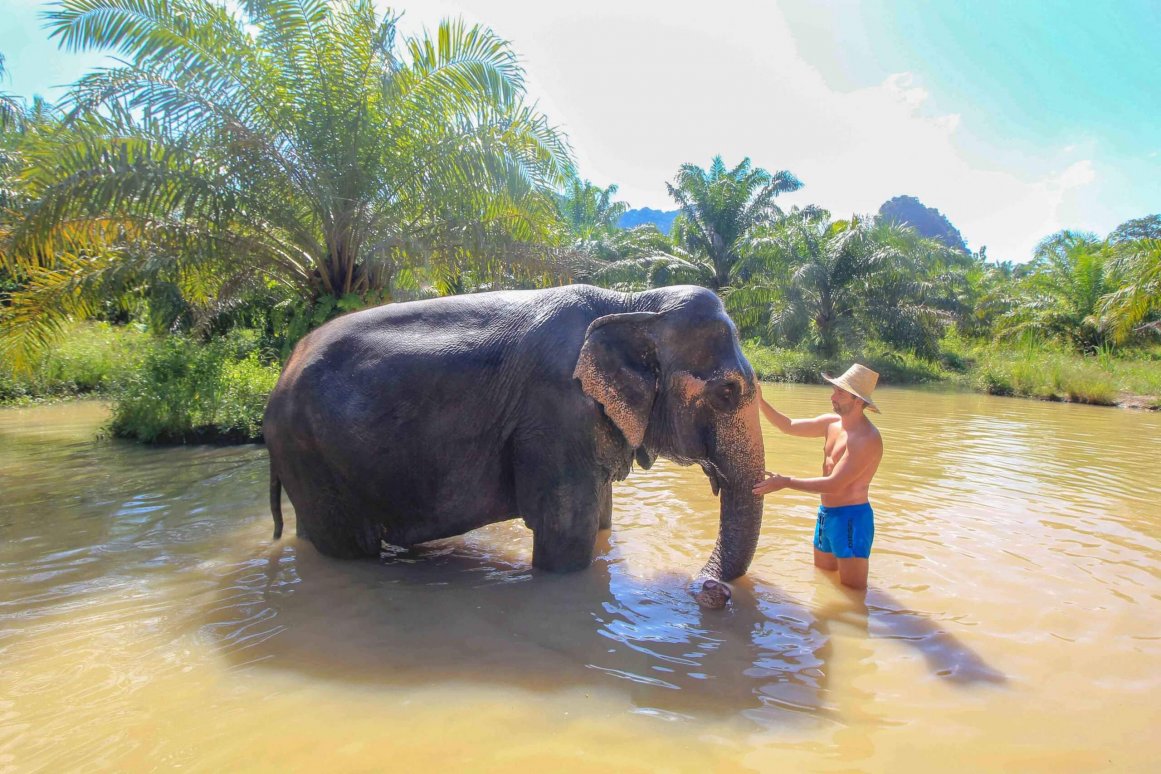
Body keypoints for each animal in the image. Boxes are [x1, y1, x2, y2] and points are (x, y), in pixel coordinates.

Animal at [263, 284, 766, 607]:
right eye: (727, 393)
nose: (712, 591)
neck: (633, 302)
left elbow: (599, 521)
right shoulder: (556, 411)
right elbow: (566, 537)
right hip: (310, 453)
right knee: (349, 547)